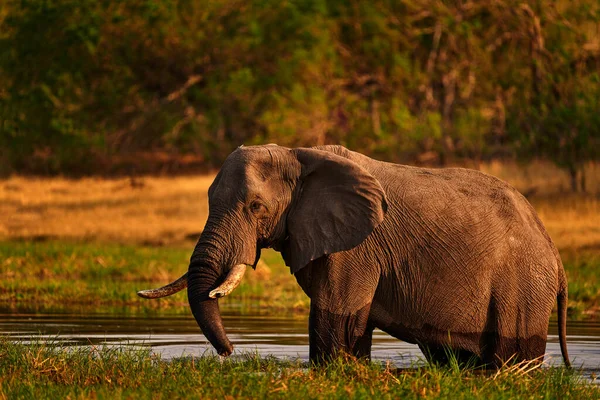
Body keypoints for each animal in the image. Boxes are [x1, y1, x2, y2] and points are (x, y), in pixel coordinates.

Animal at [137, 145, 572, 368]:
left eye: (256, 207)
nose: (228, 352)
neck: (299, 155)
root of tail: (555, 251)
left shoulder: (357, 248)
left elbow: (337, 316)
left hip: (523, 285)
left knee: (513, 351)